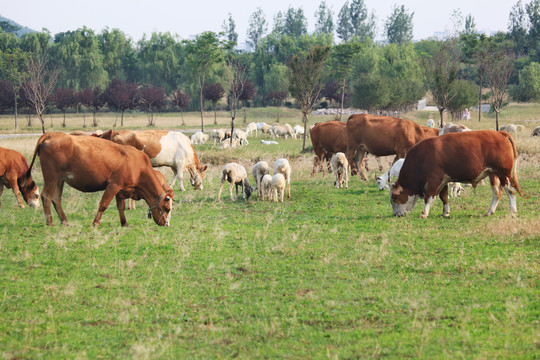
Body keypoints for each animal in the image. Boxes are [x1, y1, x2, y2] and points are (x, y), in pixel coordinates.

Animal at [28, 132, 174, 226]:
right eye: (167, 209)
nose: (166, 224)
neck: (138, 166)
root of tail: (52, 135)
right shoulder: (113, 185)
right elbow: (103, 204)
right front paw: (96, 223)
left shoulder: (120, 190)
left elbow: (120, 206)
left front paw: (124, 223)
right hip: (52, 178)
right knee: (46, 196)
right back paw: (50, 222)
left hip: (59, 180)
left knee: (56, 199)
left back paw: (65, 221)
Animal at [390, 131, 524, 218]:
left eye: (394, 198)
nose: (396, 214)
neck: (421, 156)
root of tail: (501, 133)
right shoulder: (443, 180)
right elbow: (444, 197)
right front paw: (445, 212)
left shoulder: (433, 180)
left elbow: (429, 198)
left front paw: (424, 213)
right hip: (493, 174)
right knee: (497, 192)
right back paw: (489, 211)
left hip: (504, 174)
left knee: (511, 191)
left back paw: (513, 212)